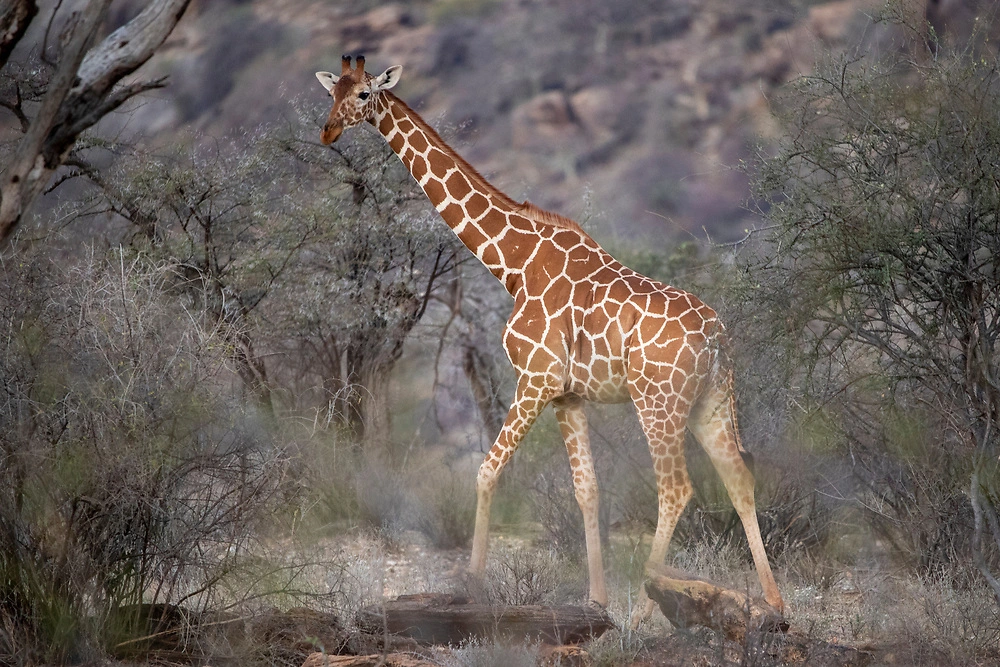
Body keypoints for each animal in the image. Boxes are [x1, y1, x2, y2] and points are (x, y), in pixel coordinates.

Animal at [316, 56, 784, 620]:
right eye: (332, 92)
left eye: (363, 94)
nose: (327, 130)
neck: (513, 263)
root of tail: (718, 336)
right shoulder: (567, 394)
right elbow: (587, 490)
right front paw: (597, 599)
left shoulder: (535, 378)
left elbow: (485, 472)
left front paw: (473, 584)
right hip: (709, 401)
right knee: (738, 478)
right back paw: (774, 604)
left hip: (659, 403)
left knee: (676, 488)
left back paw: (648, 606)